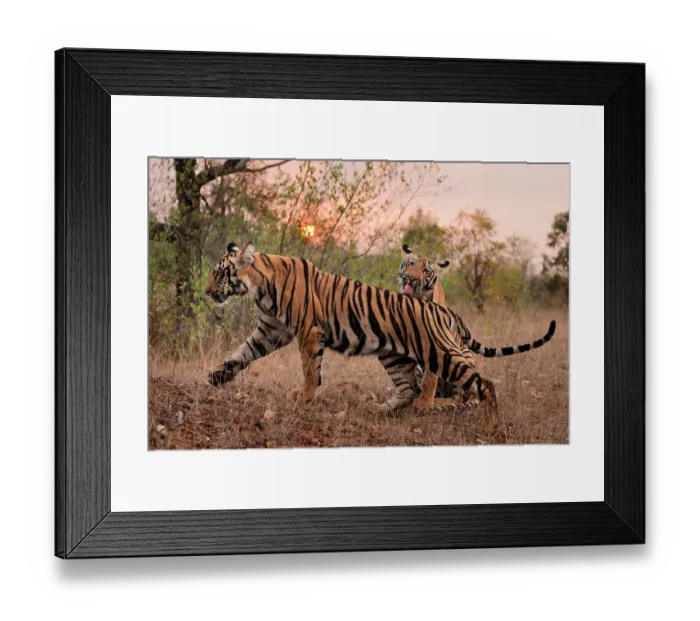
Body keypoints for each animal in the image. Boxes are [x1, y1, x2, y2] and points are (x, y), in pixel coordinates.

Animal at [205, 242, 556, 428]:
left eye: (220, 273)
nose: (207, 292)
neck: (259, 287)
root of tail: (443, 310)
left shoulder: (308, 330)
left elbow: (308, 369)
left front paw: (305, 396)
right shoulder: (270, 330)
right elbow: (241, 354)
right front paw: (215, 377)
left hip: (441, 355)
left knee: (483, 384)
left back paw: (491, 424)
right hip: (393, 355)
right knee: (409, 389)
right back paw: (381, 409)